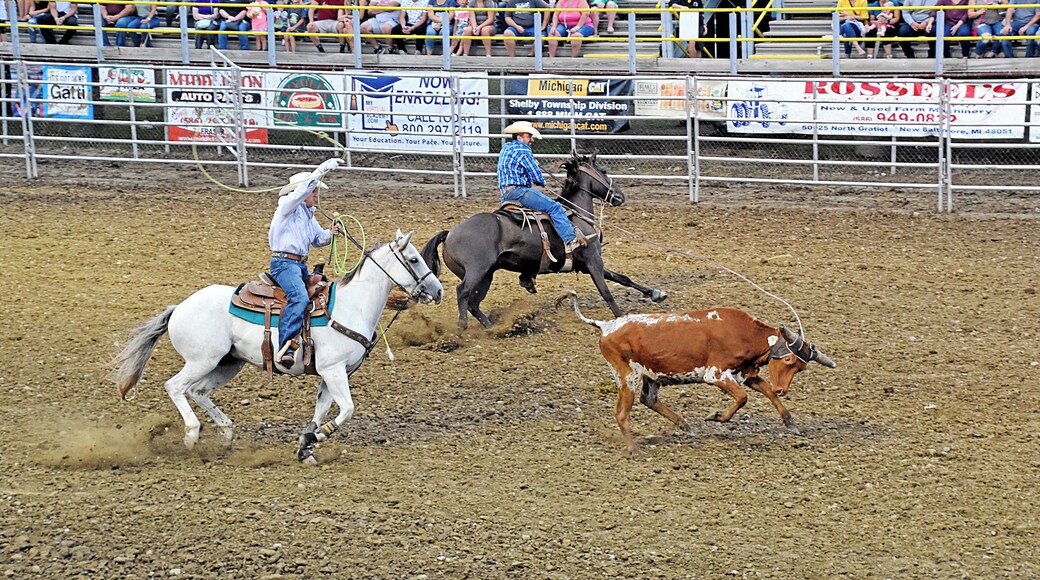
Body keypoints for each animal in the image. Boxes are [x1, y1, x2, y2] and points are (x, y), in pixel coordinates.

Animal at [556, 291, 837, 453]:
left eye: (800, 366)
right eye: (788, 359)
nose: (784, 388)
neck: (743, 334)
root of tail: (606, 325)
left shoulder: (745, 373)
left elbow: (767, 392)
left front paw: (791, 423)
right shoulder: (715, 374)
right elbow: (742, 398)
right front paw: (717, 416)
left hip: (650, 376)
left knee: (650, 400)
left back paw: (684, 425)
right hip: (627, 377)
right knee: (622, 413)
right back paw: (634, 448)